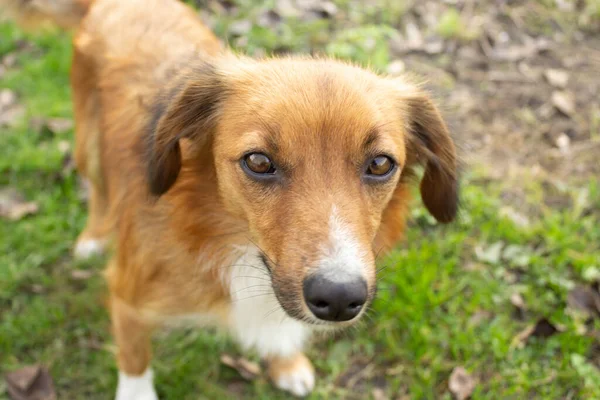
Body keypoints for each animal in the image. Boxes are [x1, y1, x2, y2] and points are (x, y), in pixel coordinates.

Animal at [1, 0, 460, 396]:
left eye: (380, 164)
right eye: (258, 161)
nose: (338, 298)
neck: (229, 242)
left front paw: (287, 362)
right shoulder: (128, 296)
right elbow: (134, 357)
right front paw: (136, 392)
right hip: (88, 145)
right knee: (97, 188)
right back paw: (94, 237)